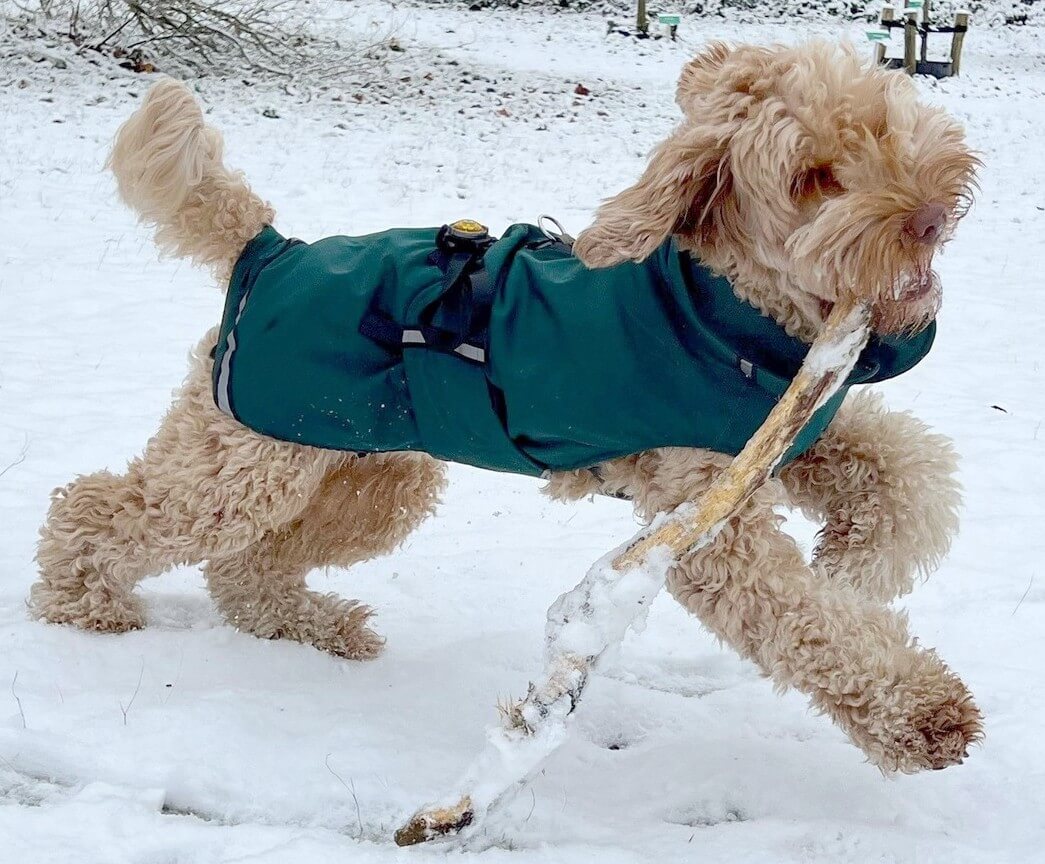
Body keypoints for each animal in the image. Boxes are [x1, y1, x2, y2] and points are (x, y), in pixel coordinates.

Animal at [30, 40, 978, 773]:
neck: (726, 310)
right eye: (812, 177)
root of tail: (269, 249)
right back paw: (81, 603)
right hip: (244, 465)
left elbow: (911, 473)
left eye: (884, 120)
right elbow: (806, 622)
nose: (928, 218)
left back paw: (315, 627)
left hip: (370, 478)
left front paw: (856, 556)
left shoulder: (797, 432)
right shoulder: (707, 520)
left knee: (247, 569)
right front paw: (920, 713)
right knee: (101, 506)